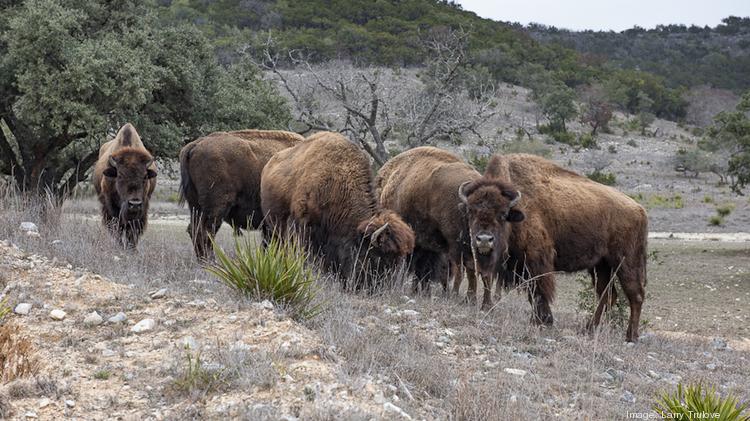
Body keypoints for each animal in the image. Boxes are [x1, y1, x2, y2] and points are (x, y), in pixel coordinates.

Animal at [178, 129, 304, 260]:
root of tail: (195, 144)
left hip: (195, 206)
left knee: (195, 230)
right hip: (215, 207)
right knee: (205, 232)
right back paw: (211, 261)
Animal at [262, 132, 418, 288]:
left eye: (399, 261)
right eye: (377, 258)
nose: (382, 287)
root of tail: (270, 163)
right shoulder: (303, 228)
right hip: (273, 228)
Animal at [378, 146, 524, 306]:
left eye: (503, 214)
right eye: (471, 212)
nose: (484, 239)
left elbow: (483, 274)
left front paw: (483, 303)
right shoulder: (457, 247)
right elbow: (466, 272)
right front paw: (464, 297)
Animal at [490, 154, 648, 342]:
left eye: (502, 215)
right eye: (472, 212)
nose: (484, 239)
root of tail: (639, 209)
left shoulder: (536, 260)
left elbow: (538, 292)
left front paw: (541, 322)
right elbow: (535, 293)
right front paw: (540, 321)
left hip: (626, 262)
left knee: (635, 295)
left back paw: (630, 336)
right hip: (601, 265)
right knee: (607, 295)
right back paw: (589, 329)